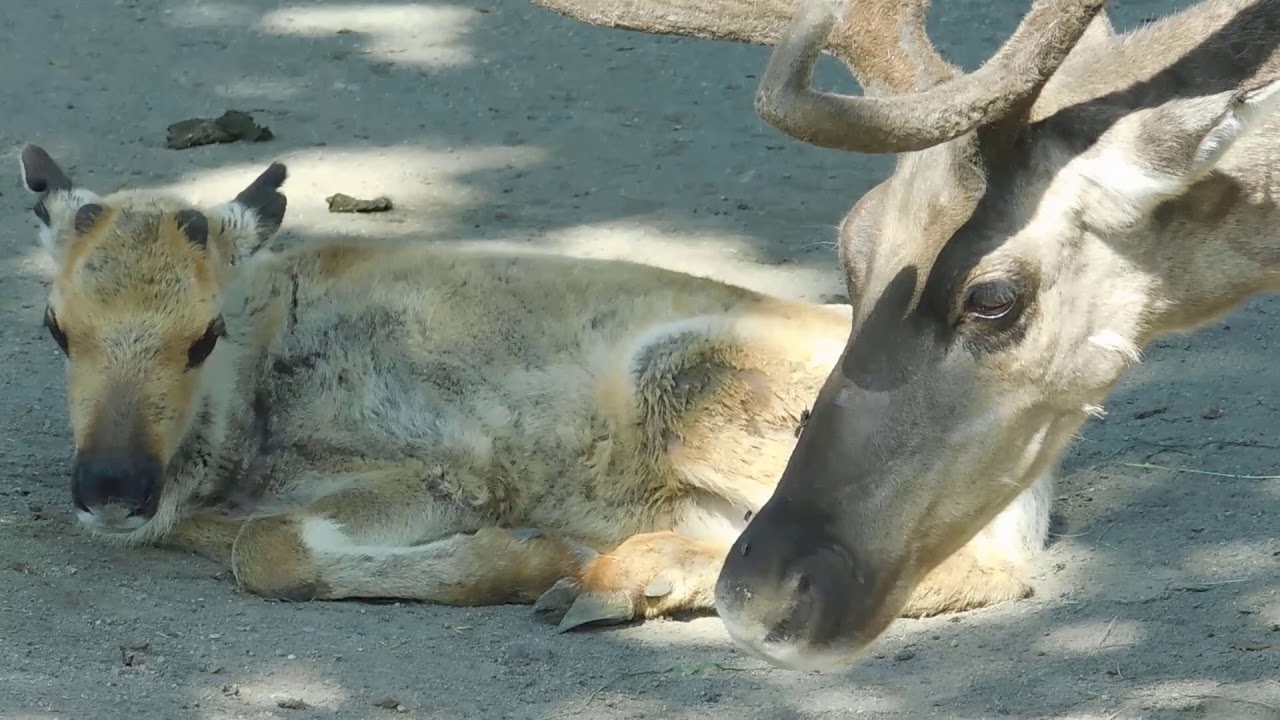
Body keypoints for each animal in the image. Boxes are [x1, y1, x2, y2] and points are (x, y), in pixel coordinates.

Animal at [16, 144, 1053, 634]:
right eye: (56, 326)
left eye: (203, 334)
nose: (109, 487)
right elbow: (242, 537)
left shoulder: (445, 474)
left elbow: (267, 548)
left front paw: (527, 559)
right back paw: (631, 575)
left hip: (688, 380)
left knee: (968, 562)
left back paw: (608, 578)